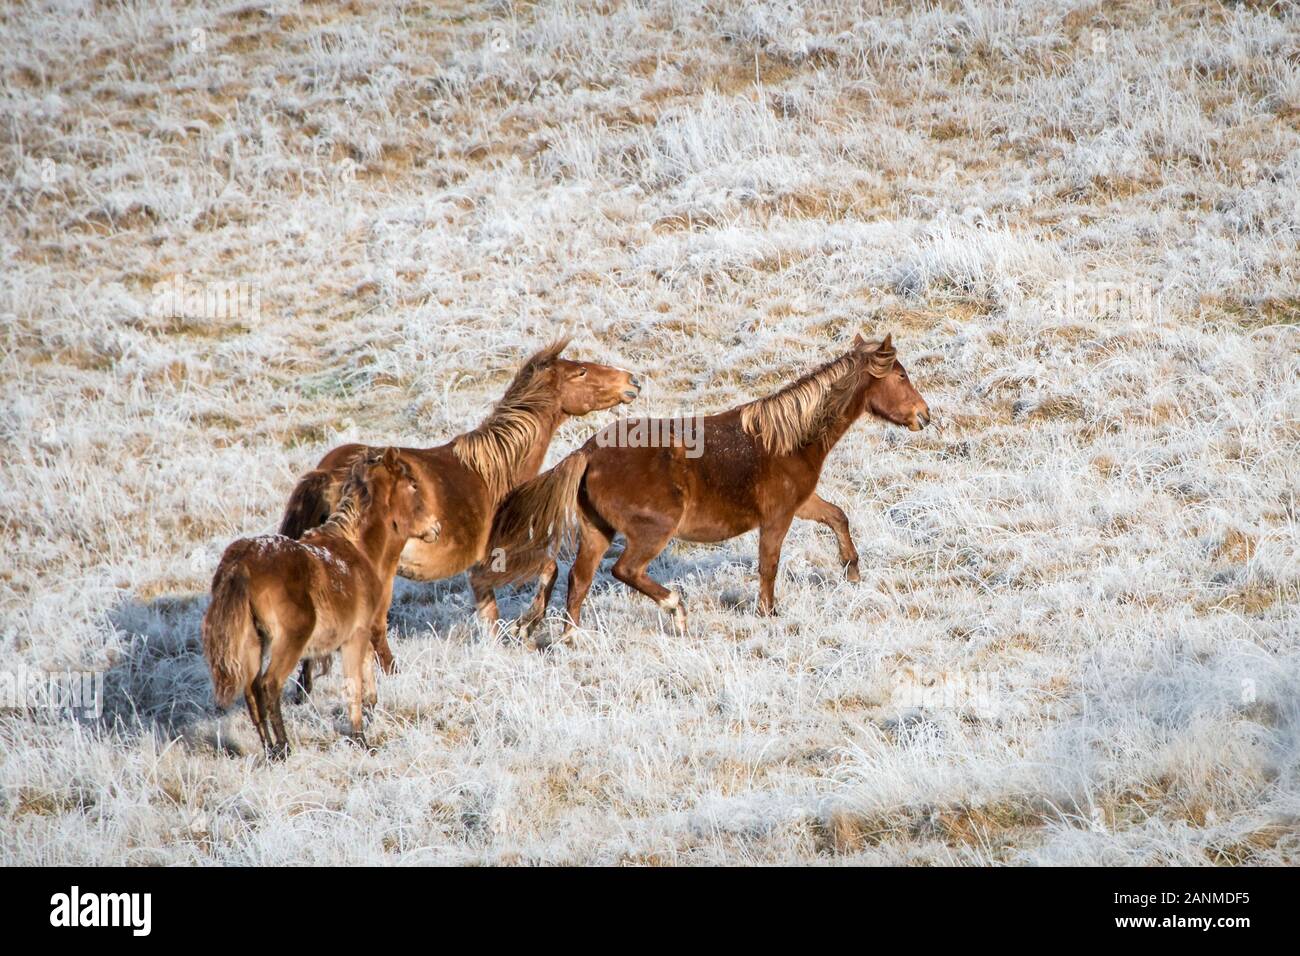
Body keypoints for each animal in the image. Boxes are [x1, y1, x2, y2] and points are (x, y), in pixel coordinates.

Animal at [202, 447, 423, 754]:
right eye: (412, 485)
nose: (435, 526)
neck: (357, 549)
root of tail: (241, 565)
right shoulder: (354, 636)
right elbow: (353, 685)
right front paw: (360, 738)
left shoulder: (361, 635)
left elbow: (367, 677)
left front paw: (370, 715)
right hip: (289, 641)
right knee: (269, 685)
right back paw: (284, 747)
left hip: (252, 641)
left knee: (252, 691)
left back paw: (270, 750)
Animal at [488, 332, 925, 647]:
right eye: (900, 376)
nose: (925, 415)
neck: (785, 438)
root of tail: (588, 452)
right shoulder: (777, 517)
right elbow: (769, 565)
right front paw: (768, 613)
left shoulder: (802, 503)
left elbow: (837, 516)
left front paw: (851, 571)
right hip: (652, 532)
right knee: (624, 570)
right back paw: (677, 610)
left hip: (597, 530)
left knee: (579, 581)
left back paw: (572, 639)